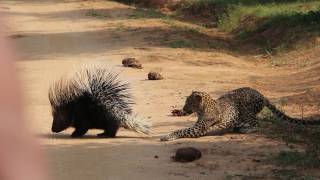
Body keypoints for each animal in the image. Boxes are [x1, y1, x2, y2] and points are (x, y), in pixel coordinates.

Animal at [161, 86, 318, 141]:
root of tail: (261, 94)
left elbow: (181, 130)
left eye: (189, 102)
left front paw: (167, 136)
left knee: (257, 123)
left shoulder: (199, 129)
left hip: (246, 109)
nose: (185, 108)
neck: (203, 108)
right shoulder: (197, 126)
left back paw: (245, 129)